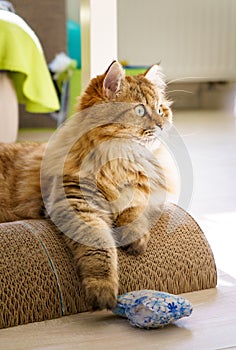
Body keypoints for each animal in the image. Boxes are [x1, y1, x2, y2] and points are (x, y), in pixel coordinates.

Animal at [0, 61, 173, 310]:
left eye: (160, 110)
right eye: (140, 111)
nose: (162, 126)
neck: (119, 163)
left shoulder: (143, 195)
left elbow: (135, 212)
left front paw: (134, 238)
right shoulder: (78, 203)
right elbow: (100, 245)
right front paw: (103, 291)